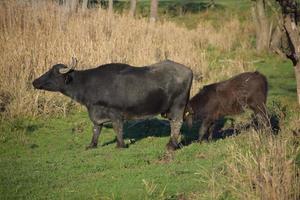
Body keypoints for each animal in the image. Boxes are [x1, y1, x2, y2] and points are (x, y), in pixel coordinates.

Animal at [32, 57, 192, 150]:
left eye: (53, 73)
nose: (34, 82)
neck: (88, 84)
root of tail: (189, 70)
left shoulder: (116, 113)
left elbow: (117, 128)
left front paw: (120, 145)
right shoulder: (95, 114)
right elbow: (96, 129)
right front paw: (92, 145)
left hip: (178, 105)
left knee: (177, 122)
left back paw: (171, 145)